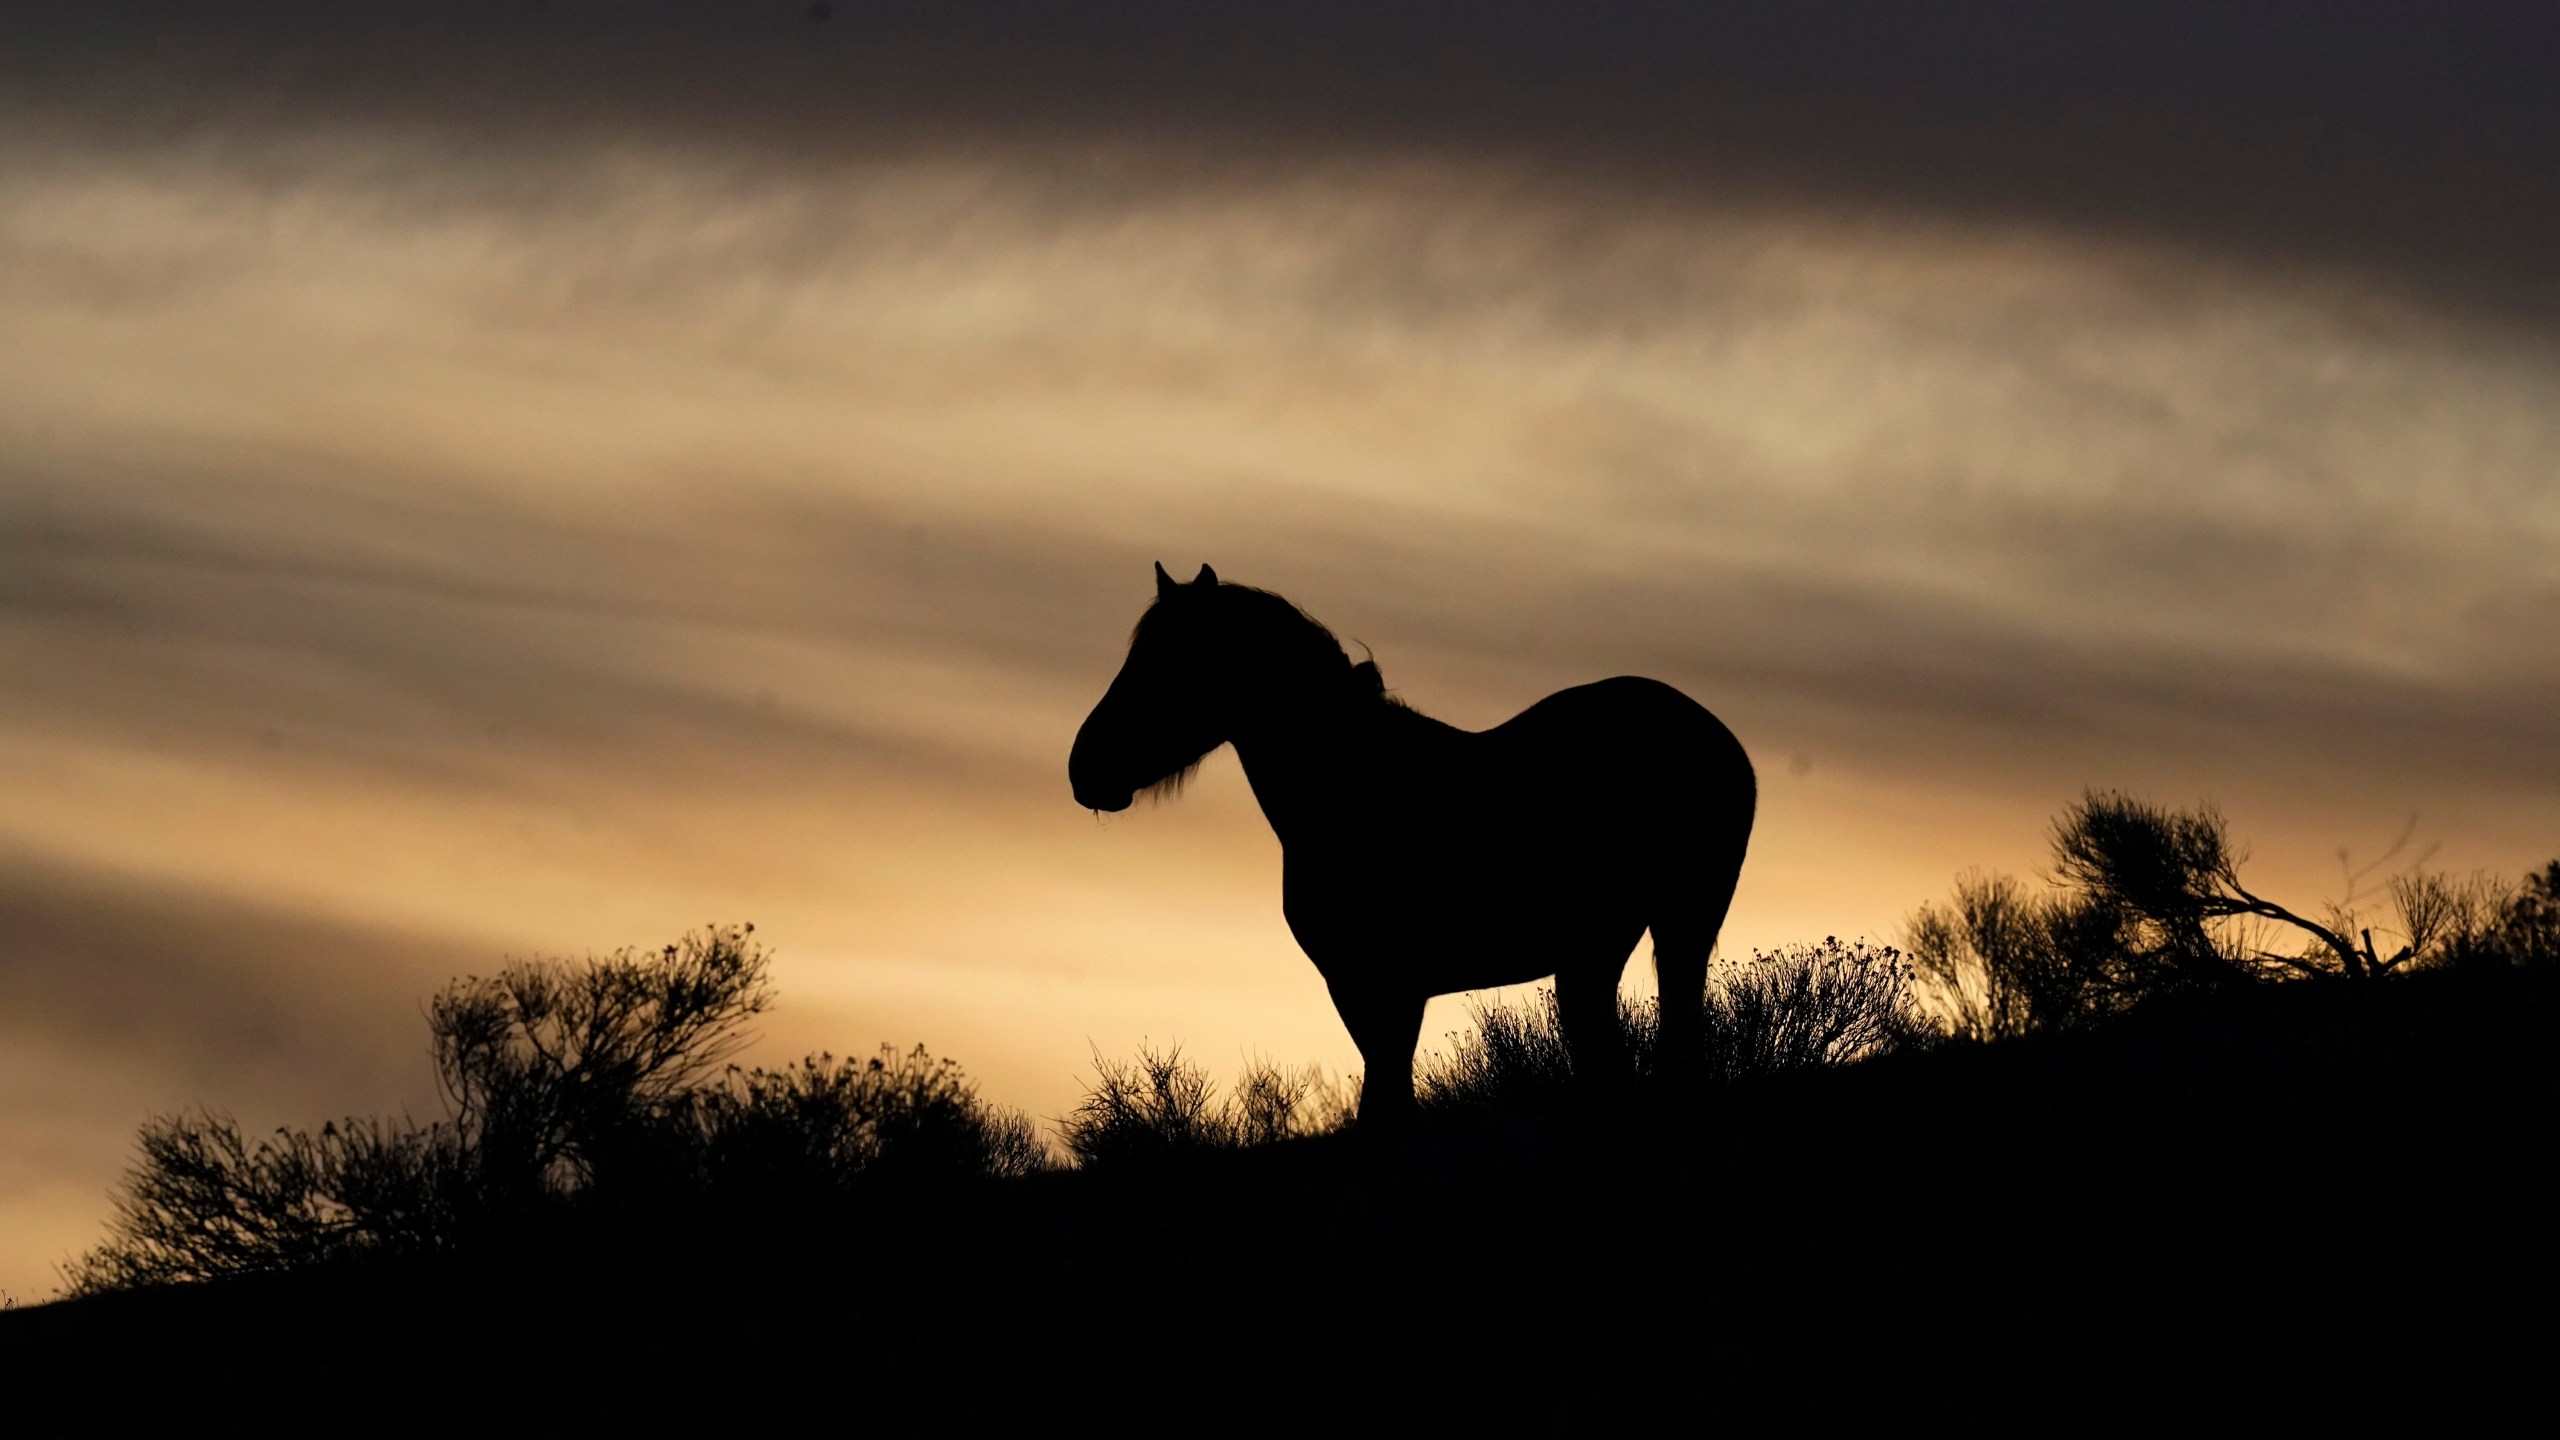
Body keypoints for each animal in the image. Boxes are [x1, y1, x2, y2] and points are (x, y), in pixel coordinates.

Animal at [1064, 566, 1761, 1117]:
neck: (1358, 788)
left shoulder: (1382, 988)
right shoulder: (1368, 990)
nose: (1084, 769)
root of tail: (1715, 734)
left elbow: (1387, 1105)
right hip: (1601, 947)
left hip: (1678, 925)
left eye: (1170, 663)